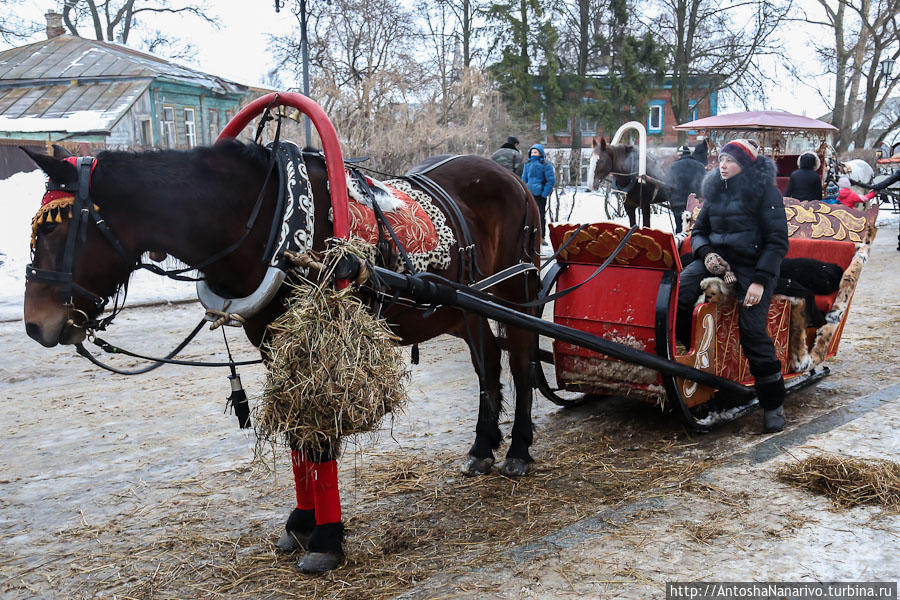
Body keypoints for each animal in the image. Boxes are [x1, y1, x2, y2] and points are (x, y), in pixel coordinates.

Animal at [22, 139, 540, 572]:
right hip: (467, 307)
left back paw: (517, 451)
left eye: (58, 231)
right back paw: (482, 447)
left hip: (518, 292)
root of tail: (510, 176)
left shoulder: (319, 347)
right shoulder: (276, 347)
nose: (35, 325)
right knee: (488, 364)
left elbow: (319, 438)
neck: (271, 220)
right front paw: (301, 522)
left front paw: (327, 540)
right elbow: (297, 438)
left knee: (520, 362)